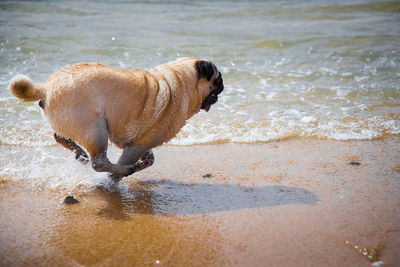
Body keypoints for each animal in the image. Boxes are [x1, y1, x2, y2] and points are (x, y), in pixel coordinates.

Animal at [7, 56, 223, 182]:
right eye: (218, 79)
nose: (223, 86)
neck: (179, 84)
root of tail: (46, 87)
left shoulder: (142, 143)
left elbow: (150, 159)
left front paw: (139, 166)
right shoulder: (137, 145)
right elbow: (127, 163)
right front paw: (115, 179)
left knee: (60, 137)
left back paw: (80, 153)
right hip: (95, 129)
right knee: (99, 162)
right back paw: (124, 169)